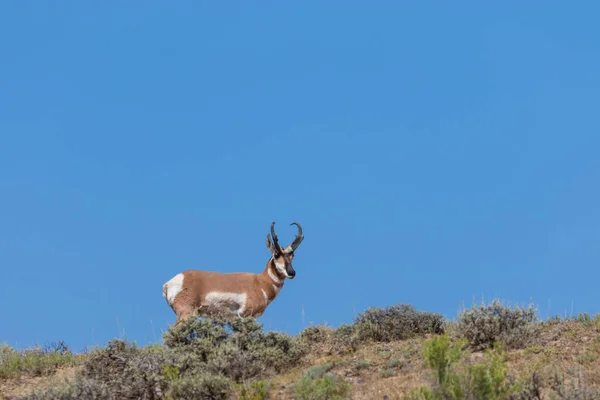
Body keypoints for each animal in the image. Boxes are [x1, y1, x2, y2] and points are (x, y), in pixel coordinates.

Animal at [163, 220, 304, 326]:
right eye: (276, 254)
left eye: (292, 255)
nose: (292, 272)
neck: (260, 282)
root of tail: (169, 283)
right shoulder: (245, 316)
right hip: (186, 314)